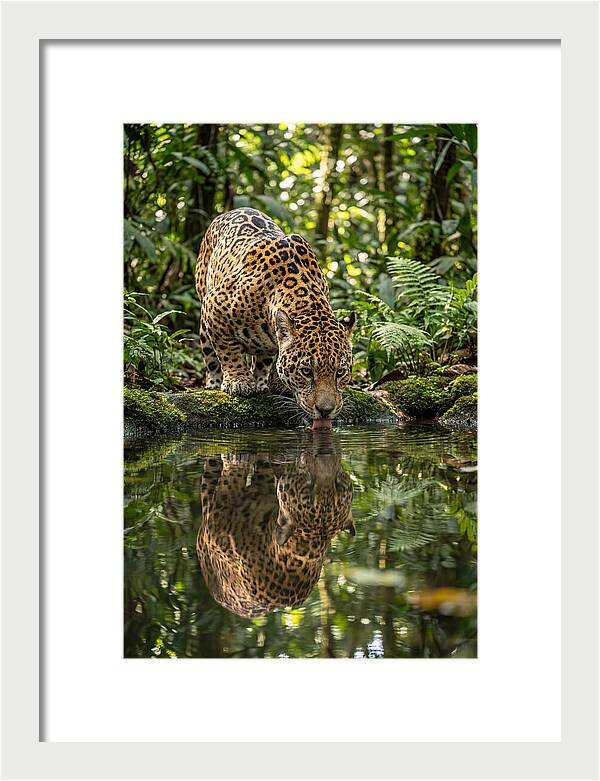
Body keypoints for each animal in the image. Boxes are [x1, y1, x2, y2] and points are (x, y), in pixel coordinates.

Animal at [195, 208, 355, 429]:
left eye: (340, 372)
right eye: (306, 371)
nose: (325, 411)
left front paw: (275, 382)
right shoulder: (214, 306)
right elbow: (228, 350)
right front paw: (239, 382)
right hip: (204, 310)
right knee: (210, 355)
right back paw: (214, 383)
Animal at [196, 438, 355, 618]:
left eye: (339, 486)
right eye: (308, 488)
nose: (326, 455)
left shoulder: (216, 524)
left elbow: (231, 481)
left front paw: (237, 459)